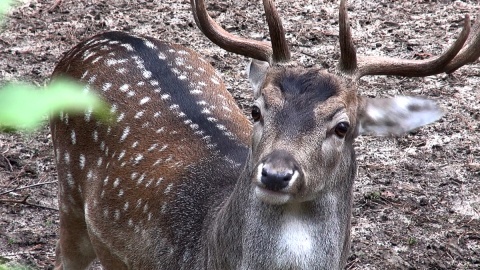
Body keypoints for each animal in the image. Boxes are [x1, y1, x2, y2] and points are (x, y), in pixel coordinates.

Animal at [49, 0, 480, 268]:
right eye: (256, 110)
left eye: (342, 127)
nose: (276, 173)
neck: (205, 251)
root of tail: (93, 39)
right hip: (70, 195)